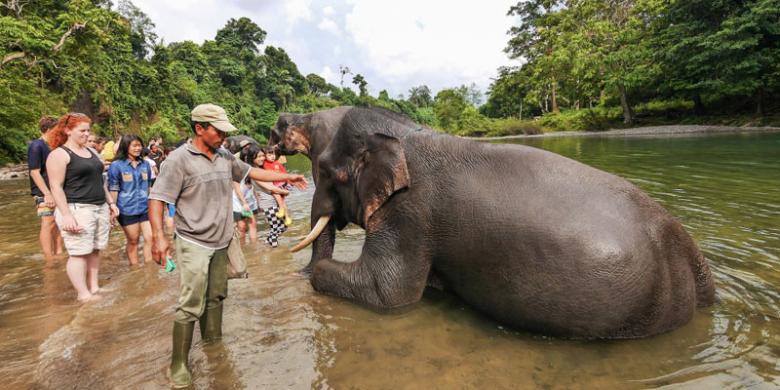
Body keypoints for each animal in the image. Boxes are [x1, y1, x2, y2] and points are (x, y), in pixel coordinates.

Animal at [272, 106, 716, 338]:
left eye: (328, 172)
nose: (292, 272)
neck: (405, 134)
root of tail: (692, 256)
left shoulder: (409, 214)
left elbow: (387, 294)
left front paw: (315, 275)